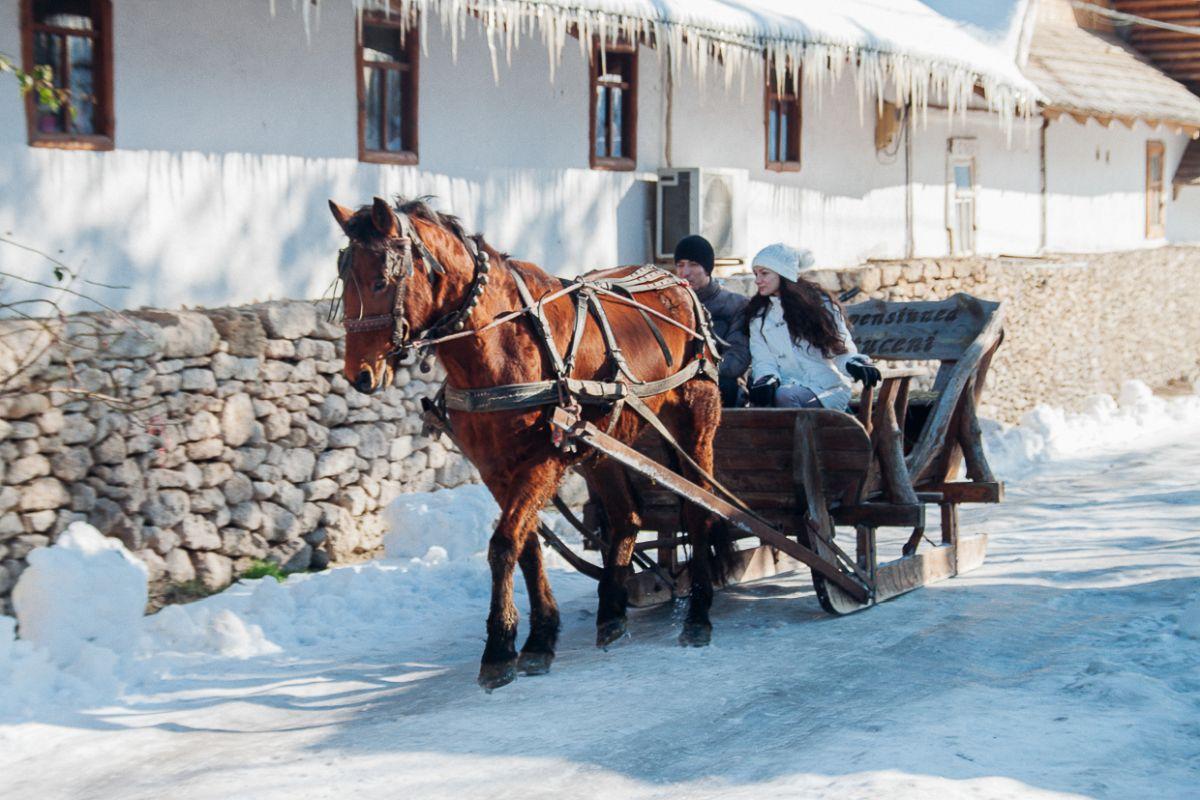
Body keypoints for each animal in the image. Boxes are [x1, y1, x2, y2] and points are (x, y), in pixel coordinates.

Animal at [324, 196, 729, 690]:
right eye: (345, 281)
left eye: (381, 281)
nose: (359, 375)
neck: (497, 343)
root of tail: (678, 283)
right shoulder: (496, 467)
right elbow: (527, 545)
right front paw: (539, 637)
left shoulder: (544, 459)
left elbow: (504, 544)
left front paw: (500, 647)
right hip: (603, 445)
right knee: (626, 516)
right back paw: (612, 613)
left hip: (696, 421)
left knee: (700, 509)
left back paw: (699, 614)